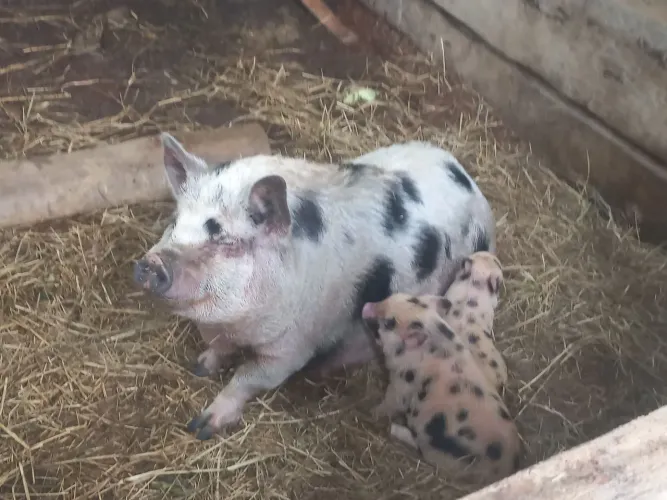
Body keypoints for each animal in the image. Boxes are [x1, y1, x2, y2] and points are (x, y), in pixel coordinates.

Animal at [132, 133, 496, 440]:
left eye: (227, 240)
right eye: (174, 223)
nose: (152, 263)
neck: (238, 325)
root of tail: (467, 177)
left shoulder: (291, 349)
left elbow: (246, 378)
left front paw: (202, 427)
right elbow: (217, 350)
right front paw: (199, 367)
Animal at [361, 293, 521, 484]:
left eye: (389, 323)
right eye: (407, 297)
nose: (366, 305)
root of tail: (504, 469)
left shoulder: (400, 386)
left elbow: (388, 404)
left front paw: (371, 412)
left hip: (435, 448)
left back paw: (394, 429)